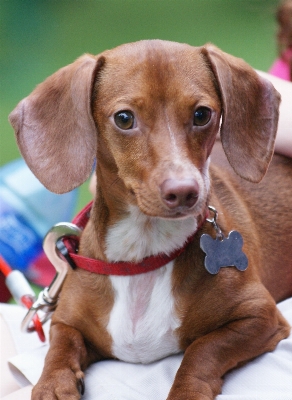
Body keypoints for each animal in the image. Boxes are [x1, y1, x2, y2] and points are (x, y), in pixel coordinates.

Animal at [9, 41, 292, 400]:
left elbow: (203, 348)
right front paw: (53, 383)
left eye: (202, 114)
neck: (143, 255)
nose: (185, 191)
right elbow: (60, 345)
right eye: (124, 118)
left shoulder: (260, 316)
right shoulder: (65, 321)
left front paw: (186, 390)